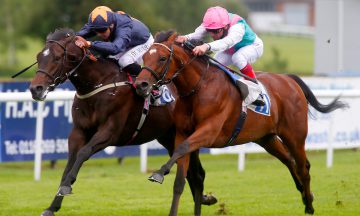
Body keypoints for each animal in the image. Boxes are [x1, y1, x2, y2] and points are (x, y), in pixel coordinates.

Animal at [134, 30, 348, 216]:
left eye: (162, 58)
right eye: (144, 57)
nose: (141, 84)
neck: (198, 88)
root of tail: (289, 79)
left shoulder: (208, 131)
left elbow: (183, 149)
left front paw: (159, 172)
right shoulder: (182, 133)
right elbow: (179, 180)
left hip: (294, 135)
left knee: (304, 166)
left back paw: (309, 205)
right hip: (266, 138)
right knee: (289, 160)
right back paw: (304, 193)